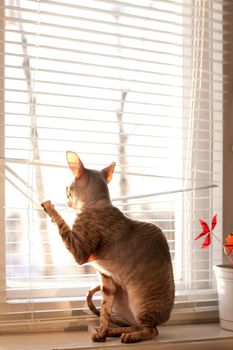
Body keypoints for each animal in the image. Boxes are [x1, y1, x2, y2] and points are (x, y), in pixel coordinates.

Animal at [40, 152, 175, 344]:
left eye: (67, 188)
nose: (65, 197)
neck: (96, 204)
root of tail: (165, 317)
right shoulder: (107, 279)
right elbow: (104, 310)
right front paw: (102, 332)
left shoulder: (79, 252)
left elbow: (62, 223)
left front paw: (48, 206)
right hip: (120, 298)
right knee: (135, 324)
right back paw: (115, 331)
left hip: (142, 304)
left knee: (151, 330)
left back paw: (130, 336)